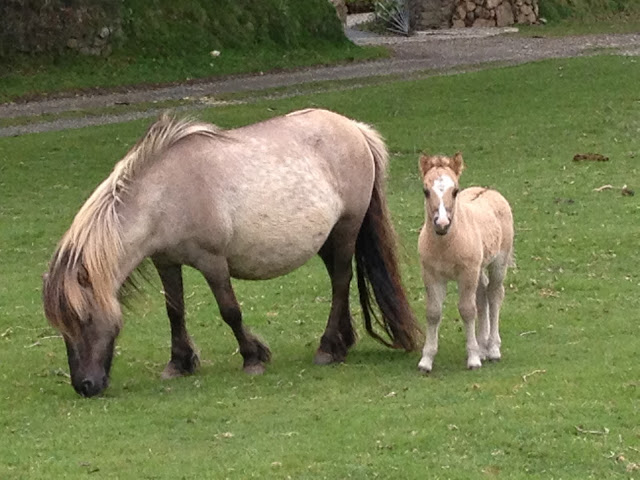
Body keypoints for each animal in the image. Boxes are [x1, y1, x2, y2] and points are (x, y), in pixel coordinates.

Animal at [40, 109, 420, 398]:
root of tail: (356, 129)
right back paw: (344, 340)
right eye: (62, 326)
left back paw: (328, 348)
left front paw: (253, 357)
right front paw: (178, 363)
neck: (165, 195)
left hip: (345, 230)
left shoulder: (212, 262)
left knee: (341, 282)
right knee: (339, 282)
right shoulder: (166, 261)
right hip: (327, 239)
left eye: (84, 319)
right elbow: (174, 312)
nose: (85, 386)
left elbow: (230, 311)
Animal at [416, 152, 516, 374]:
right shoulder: (431, 274)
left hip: (498, 263)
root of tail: (488, 190)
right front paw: (426, 360)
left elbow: (467, 310)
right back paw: (483, 346)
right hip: (479, 267)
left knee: (494, 294)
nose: (442, 224)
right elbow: (433, 312)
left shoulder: (467, 273)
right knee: (483, 294)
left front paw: (473, 358)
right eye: (425, 191)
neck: (446, 245)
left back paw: (493, 349)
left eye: (455, 191)